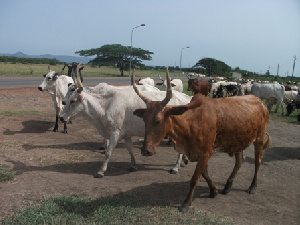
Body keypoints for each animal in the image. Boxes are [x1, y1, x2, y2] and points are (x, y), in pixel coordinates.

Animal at [60, 65, 192, 178]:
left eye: (72, 101)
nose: (61, 117)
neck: (106, 105)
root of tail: (186, 97)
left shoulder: (115, 133)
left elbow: (108, 153)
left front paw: (101, 171)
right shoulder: (126, 134)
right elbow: (130, 150)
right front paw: (133, 165)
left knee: (180, 150)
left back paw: (176, 167)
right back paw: (184, 160)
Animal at [132, 68, 270, 213]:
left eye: (158, 121)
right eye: (144, 119)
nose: (145, 150)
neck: (191, 122)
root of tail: (259, 102)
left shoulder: (205, 153)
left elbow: (195, 178)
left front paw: (186, 203)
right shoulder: (199, 153)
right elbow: (204, 174)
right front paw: (213, 191)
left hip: (259, 139)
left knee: (258, 161)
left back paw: (252, 186)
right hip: (238, 141)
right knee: (239, 161)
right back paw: (227, 186)